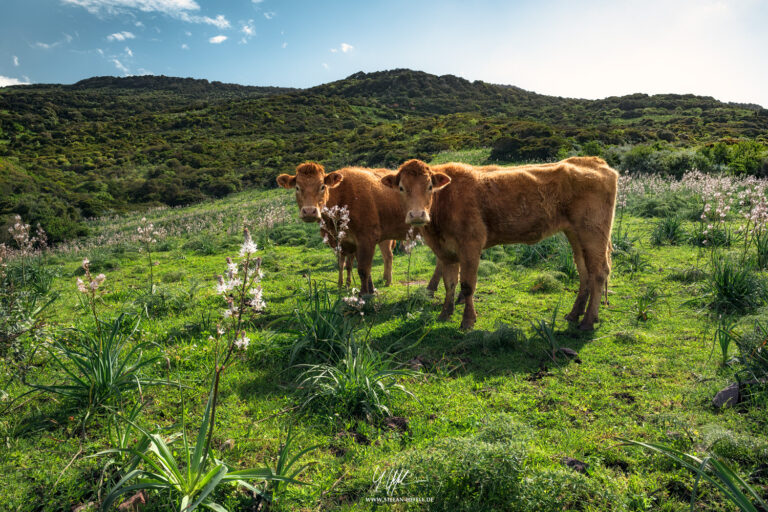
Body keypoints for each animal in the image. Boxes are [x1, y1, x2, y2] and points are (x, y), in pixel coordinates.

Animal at [280, 162, 440, 294]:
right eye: (297, 187)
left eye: (322, 186)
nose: (309, 211)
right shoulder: (348, 243)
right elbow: (354, 267)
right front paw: (369, 289)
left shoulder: (366, 238)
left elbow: (363, 269)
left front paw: (364, 295)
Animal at [382, 157, 616, 332]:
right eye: (401, 188)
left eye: (430, 187)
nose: (417, 215)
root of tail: (595, 162)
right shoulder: (445, 252)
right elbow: (450, 284)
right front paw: (444, 314)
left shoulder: (471, 245)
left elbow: (467, 285)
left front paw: (468, 321)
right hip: (576, 234)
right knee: (584, 272)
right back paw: (575, 314)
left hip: (593, 232)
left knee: (599, 272)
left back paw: (587, 321)